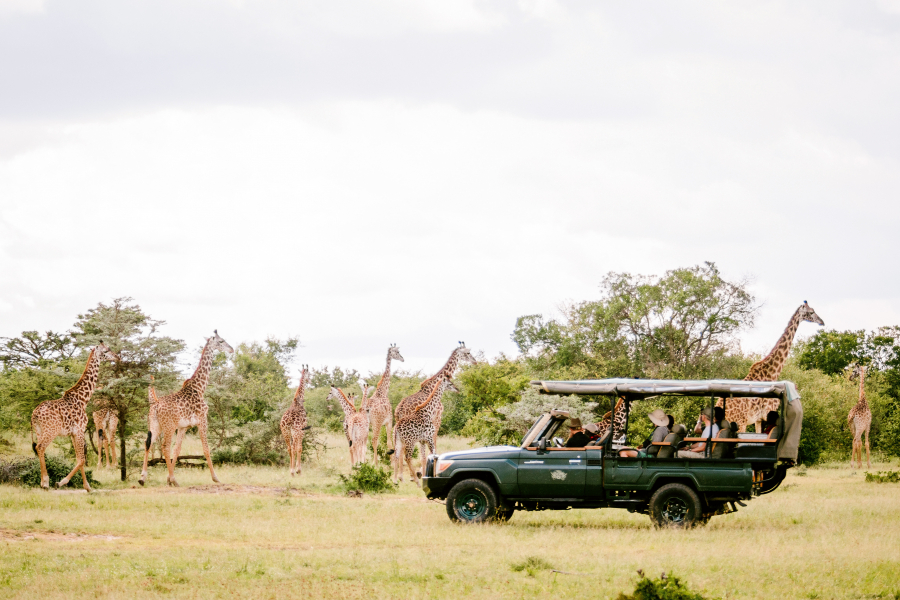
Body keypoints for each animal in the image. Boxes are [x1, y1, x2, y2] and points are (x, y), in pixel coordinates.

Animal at [30, 342, 118, 492]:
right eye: (106, 350)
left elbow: (78, 458)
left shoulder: (73, 433)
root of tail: (34, 414)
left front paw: (87, 486)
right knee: (40, 447)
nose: (117, 357)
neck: (83, 399)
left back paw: (42, 482)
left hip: (39, 431)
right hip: (51, 431)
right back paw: (46, 482)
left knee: (38, 448)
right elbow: (82, 459)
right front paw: (61, 482)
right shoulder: (80, 430)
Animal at [137, 332, 234, 488]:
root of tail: (156, 405)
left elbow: (177, 449)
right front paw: (216, 478)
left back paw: (142, 478)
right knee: (164, 446)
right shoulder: (202, 420)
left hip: (155, 425)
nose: (231, 349)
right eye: (221, 341)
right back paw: (174, 480)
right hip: (168, 426)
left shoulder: (183, 427)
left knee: (148, 443)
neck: (199, 388)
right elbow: (206, 449)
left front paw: (168, 479)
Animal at [716, 302, 824, 434]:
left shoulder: (758, 419)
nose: (822, 322)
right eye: (811, 312)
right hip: (739, 423)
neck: (771, 373)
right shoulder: (767, 413)